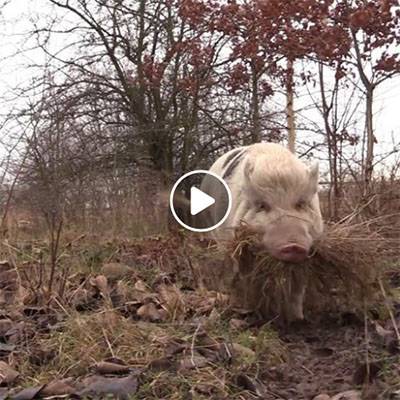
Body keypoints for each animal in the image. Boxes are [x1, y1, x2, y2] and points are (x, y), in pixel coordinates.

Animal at [200, 142, 324, 320]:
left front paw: (297, 318)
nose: (293, 245)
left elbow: (298, 285)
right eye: (262, 205)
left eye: (301, 204)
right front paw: (251, 311)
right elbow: (246, 277)